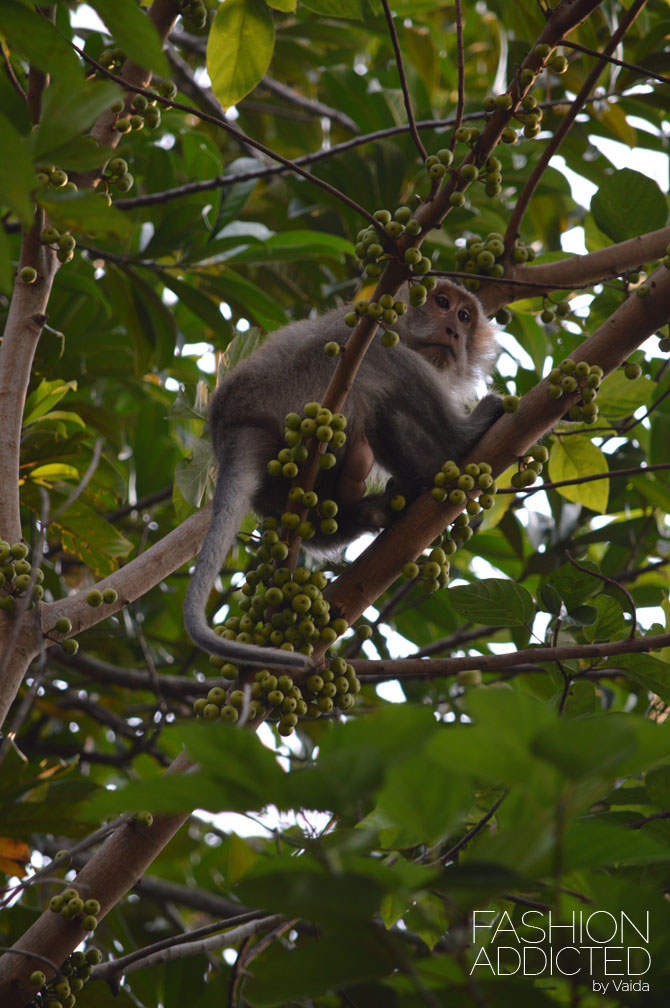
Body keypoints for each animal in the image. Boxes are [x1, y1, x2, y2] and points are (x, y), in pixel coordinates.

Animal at [183, 278, 501, 669]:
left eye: (464, 316)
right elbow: (380, 362)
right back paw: (462, 438)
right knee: (385, 360)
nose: (454, 331)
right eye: (442, 303)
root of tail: (230, 429)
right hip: (293, 391)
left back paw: (376, 507)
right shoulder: (372, 329)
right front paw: (450, 456)